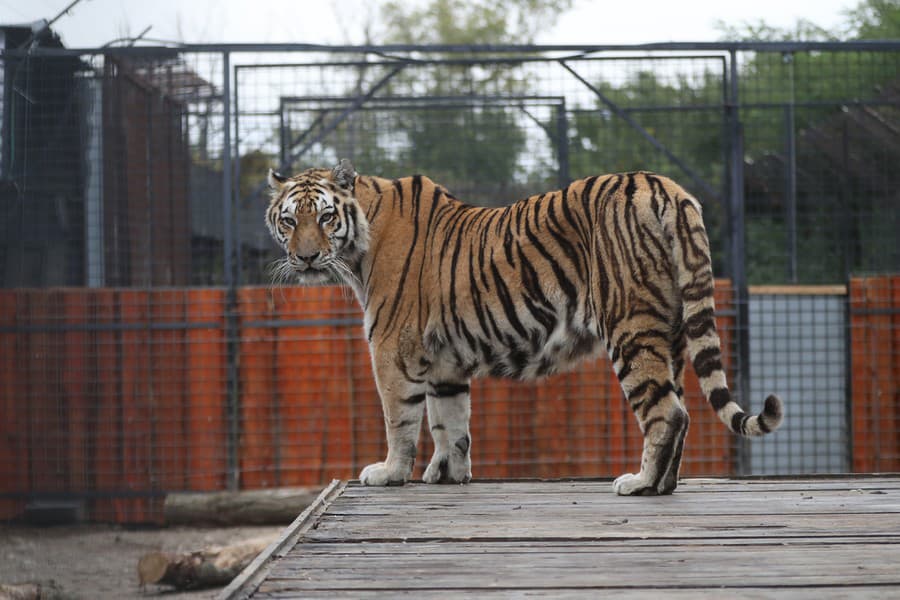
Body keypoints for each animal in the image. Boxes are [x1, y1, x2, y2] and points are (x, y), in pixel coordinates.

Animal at [266, 159, 780, 496]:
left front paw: (390, 473)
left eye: (325, 217)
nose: (306, 258)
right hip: (668, 330)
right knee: (683, 410)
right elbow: (449, 420)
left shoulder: (394, 349)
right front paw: (448, 474)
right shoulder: (443, 361)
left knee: (666, 411)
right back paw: (666, 483)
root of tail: (665, 186)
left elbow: (401, 419)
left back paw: (640, 483)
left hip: (629, 325)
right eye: (289, 220)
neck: (359, 240)